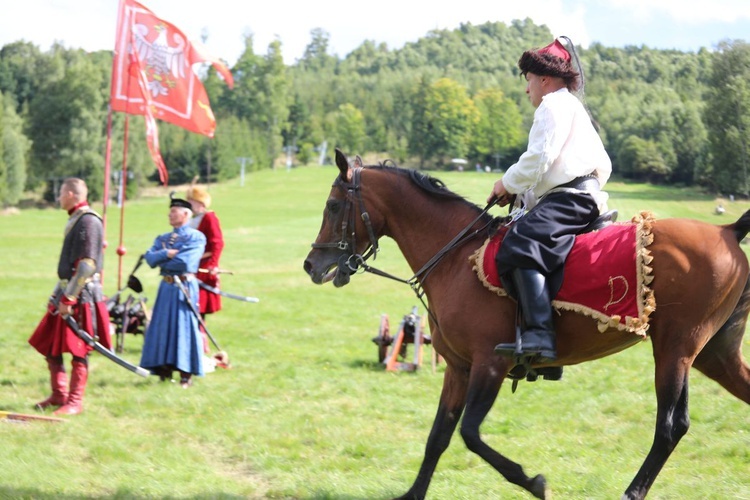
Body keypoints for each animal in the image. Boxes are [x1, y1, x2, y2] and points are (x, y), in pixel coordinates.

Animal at [302, 149, 748, 500]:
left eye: (333, 206)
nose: (311, 264)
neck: (455, 256)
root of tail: (727, 231)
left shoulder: (490, 364)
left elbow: (470, 433)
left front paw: (531, 481)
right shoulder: (459, 368)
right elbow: (439, 436)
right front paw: (412, 494)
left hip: (674, 350)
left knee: (670, 427)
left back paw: (631, 492)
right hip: (710, 355)